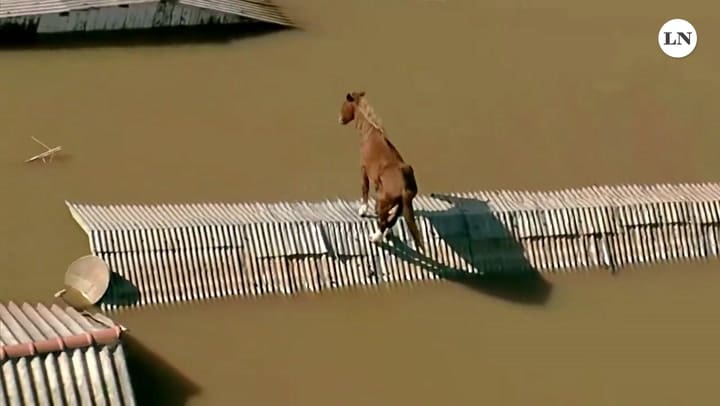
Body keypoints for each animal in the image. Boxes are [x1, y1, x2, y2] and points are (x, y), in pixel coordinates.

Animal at [338, 91, 425, 251]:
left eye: (344, 105)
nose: (339, 119)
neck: (369, 132)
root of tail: (405, 186)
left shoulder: (363, 167)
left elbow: (364, 188)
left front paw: (363, 210)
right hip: (400, 204)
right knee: (391, 220)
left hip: (383, 201)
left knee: (384, 222)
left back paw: (374, 237)